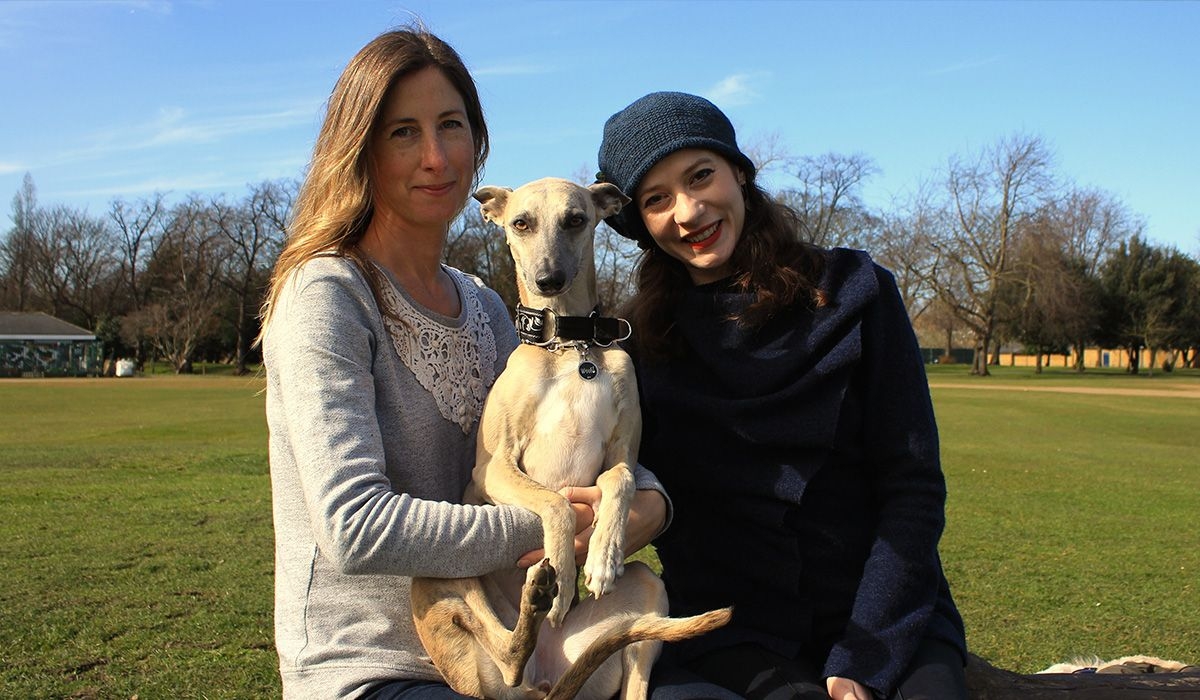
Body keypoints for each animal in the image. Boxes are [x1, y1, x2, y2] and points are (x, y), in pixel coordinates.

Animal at [410, 178, 729, 700]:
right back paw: (541, 598)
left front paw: (601, 558)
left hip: (644, 593)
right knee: (505, 651)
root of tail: (541, 682)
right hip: (438, 579)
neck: (568, 346)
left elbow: (620, 481)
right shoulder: (494, 468)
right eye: (521, 223)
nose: (548, 280)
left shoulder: (621, 454)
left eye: (576, 219)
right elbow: (557, 503)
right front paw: (561, 573)